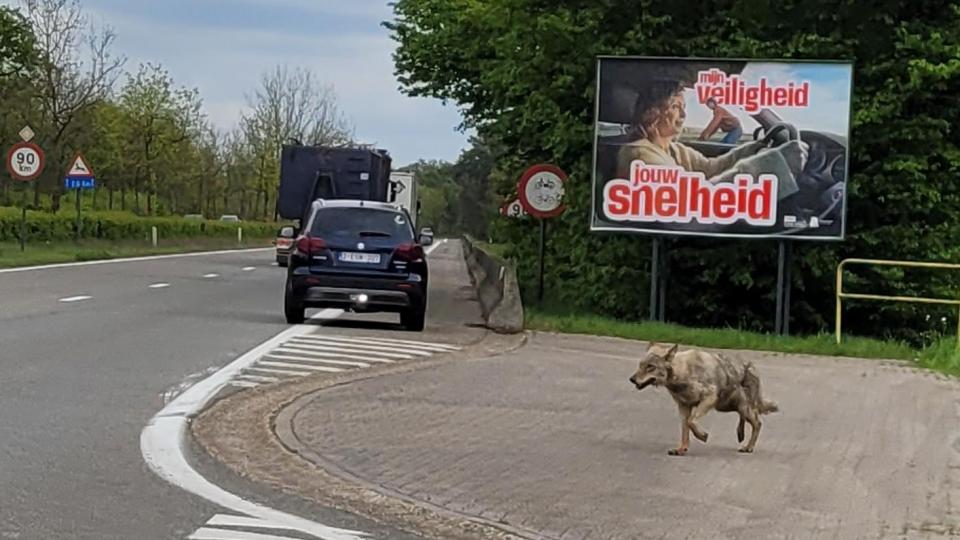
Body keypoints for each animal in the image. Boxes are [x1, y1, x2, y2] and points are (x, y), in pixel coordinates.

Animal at [632, 342, 780, 456]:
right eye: (640, 365)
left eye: (650, 367)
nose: (631, 379)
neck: (682, 372)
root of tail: (752, 366)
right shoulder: (683, 407)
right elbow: (686, 429)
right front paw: (681, 449)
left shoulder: (709, 397)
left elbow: (692, 422)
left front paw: (702, 436)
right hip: (729, 406)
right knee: (747, 418)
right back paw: (740, 434)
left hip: (741, 407)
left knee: (758, 423)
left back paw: (748, 447)